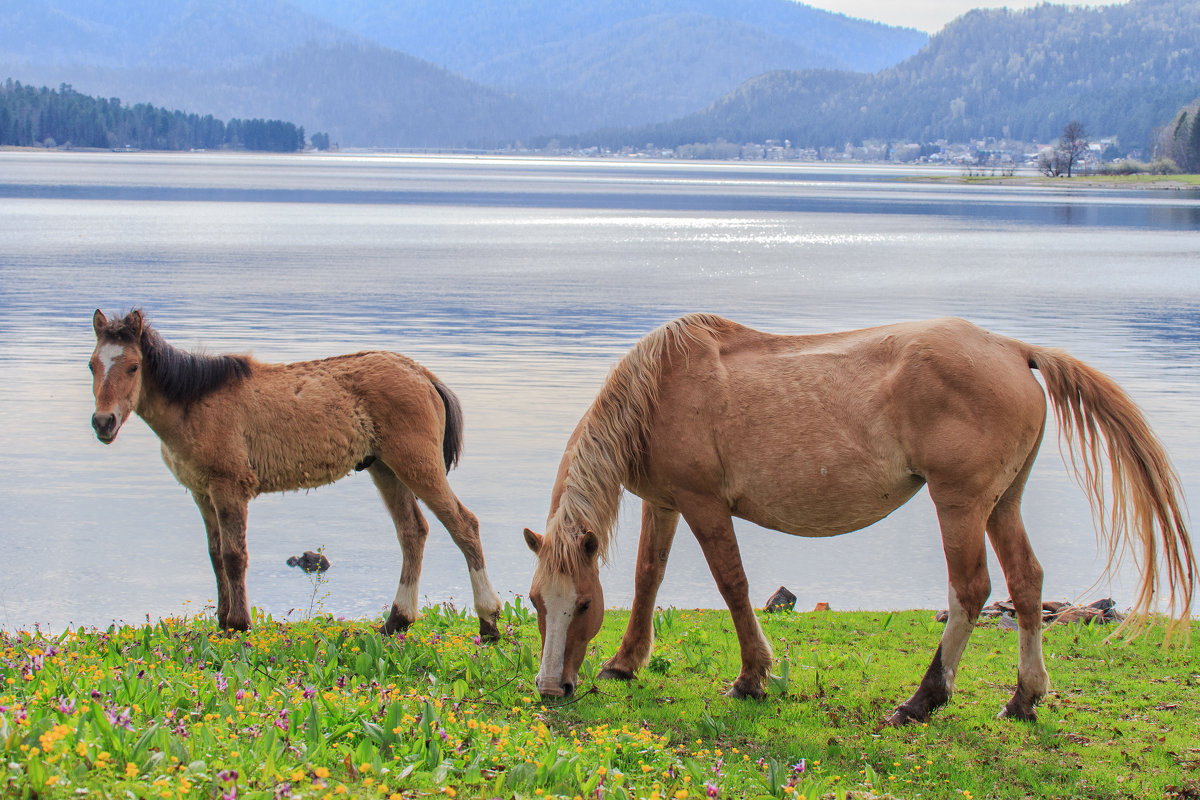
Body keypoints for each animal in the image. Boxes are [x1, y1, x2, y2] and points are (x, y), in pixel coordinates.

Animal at [91, 309, 504, 642]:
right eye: (92, 365)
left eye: (133, 367)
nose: (103, 422)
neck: (195, 403)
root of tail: (422, 373)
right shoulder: (202, 493)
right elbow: (214, 553)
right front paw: (223, 622)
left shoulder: (229, 487)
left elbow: (233, 555)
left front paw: (238, 625)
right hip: (385, 469)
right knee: (412, 532)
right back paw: (395, 622)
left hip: (417, 465)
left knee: (464, 525)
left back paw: (488, 622)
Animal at [525, 314, 1190, 724]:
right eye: (536, 602)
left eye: (581, 604)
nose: (552, 687)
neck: (660, 389)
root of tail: (1013, 350)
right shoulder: (664, 502)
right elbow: (648, 578)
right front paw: (625, 662)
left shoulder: (704, 504)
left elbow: (732, 584)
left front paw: (752, 677)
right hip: (1004, 503)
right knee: (1026, 583)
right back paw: (1023, 697)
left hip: (960, 504)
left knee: (971, 589)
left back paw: (923, 700)